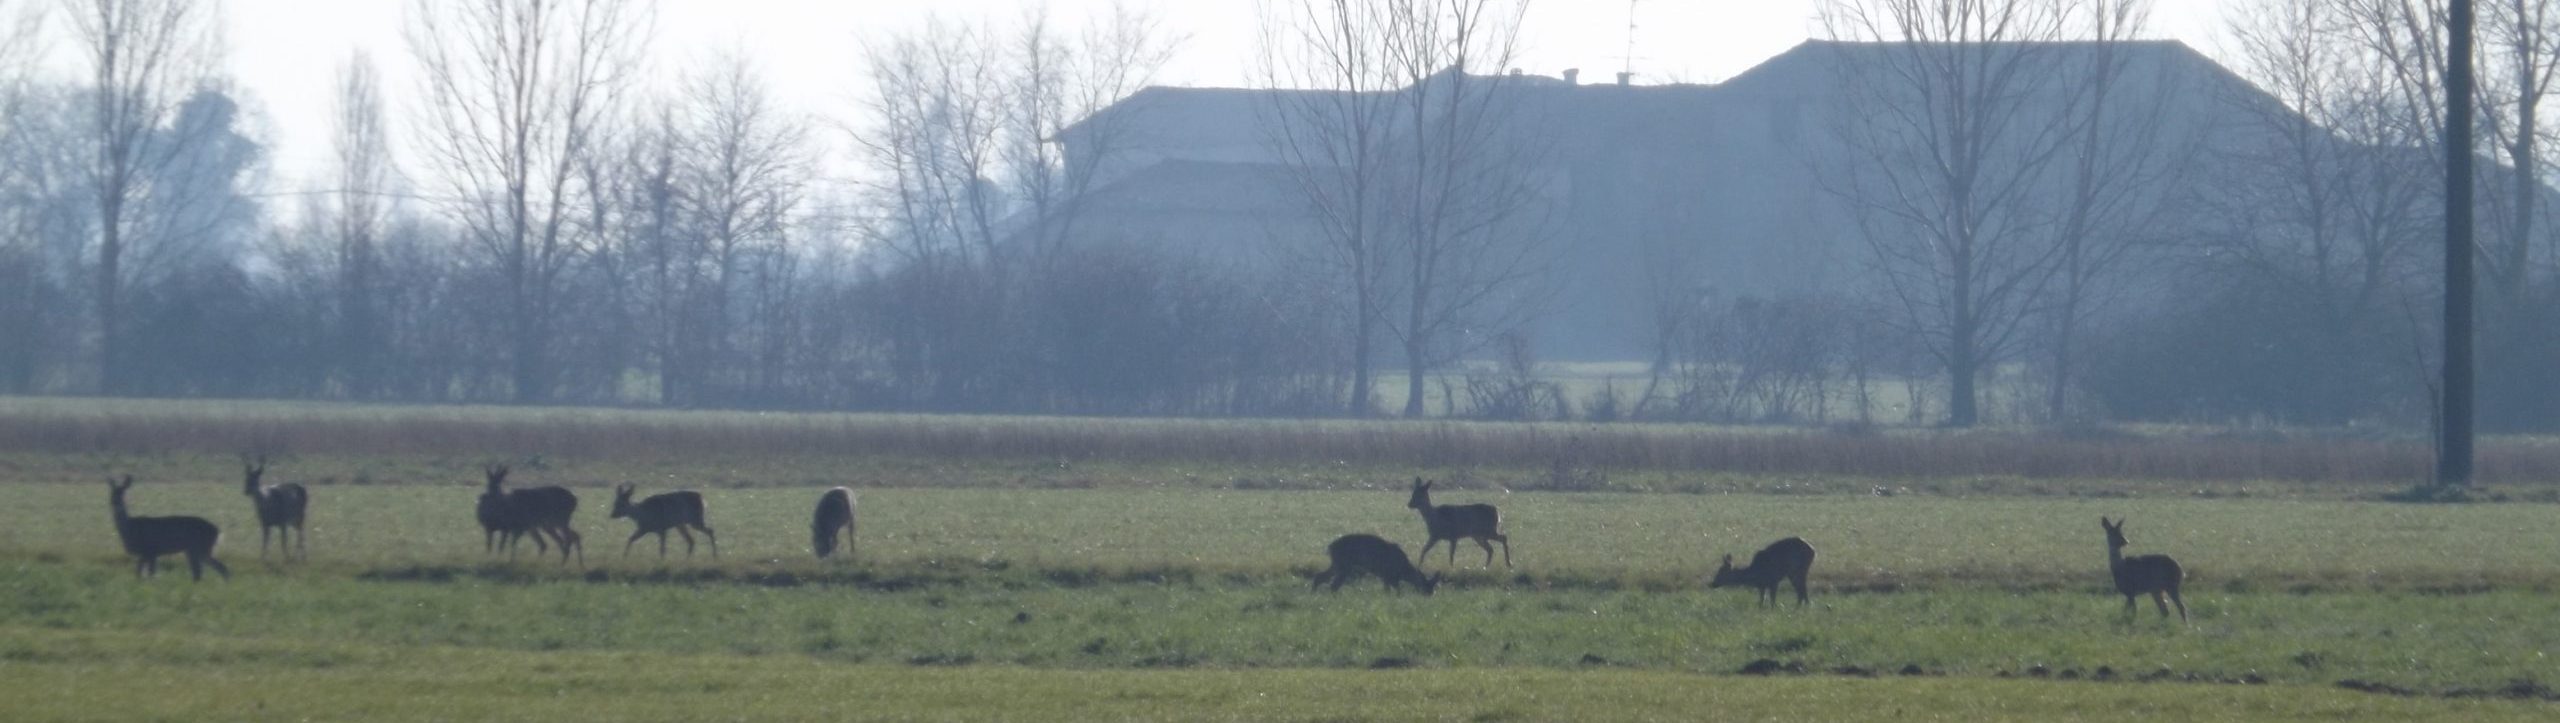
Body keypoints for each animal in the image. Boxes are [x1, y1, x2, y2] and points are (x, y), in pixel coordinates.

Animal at [1300, 533, 1443, 594]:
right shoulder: (1389, 575)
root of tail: (1330, 547)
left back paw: (1314, 593)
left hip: (1337, 564)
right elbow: (1396, 590)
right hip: (1344, 565)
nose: (1430, 595)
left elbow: (1388, 590)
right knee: (1333, 585)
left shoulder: (1385, 576)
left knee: (1320, 577)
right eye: (1426, 586)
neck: (1403, 569)